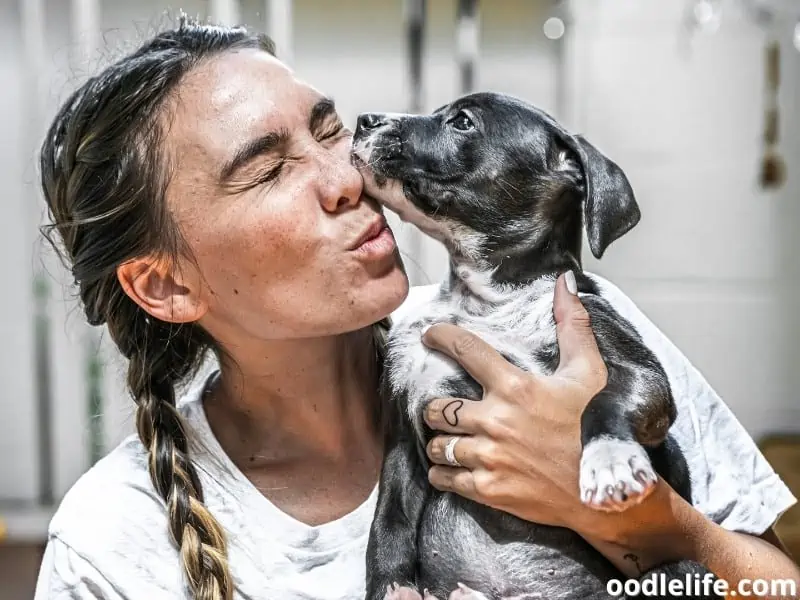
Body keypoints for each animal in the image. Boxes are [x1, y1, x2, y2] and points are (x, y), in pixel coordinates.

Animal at [350, 94, 720, 600]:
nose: (363, 119)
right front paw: (393, 589)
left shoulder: (640, 372)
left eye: (462, 122)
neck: (487, 301)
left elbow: (604, 403)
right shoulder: (404, 433)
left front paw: (609, 459)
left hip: (684, 569)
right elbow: (389, 523)